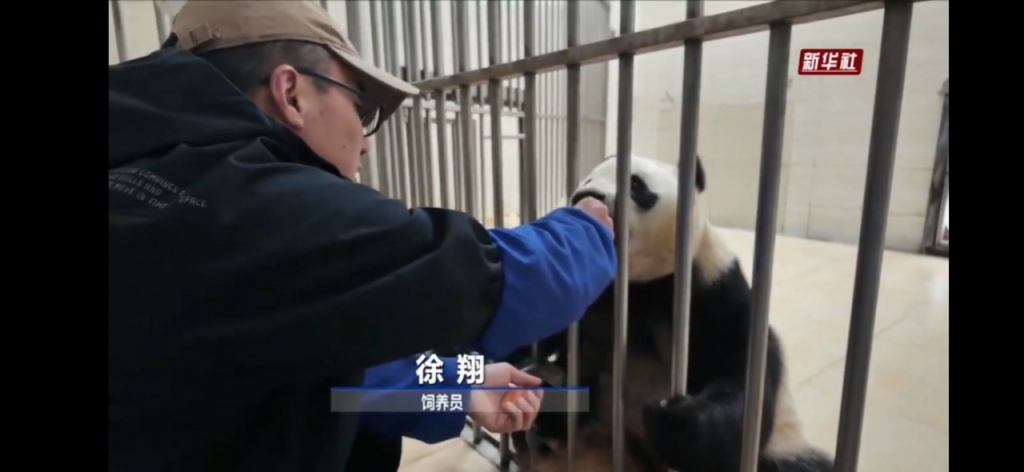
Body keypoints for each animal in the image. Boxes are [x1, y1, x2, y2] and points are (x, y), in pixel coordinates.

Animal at [504, 154, 834, 472]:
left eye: (635, 185)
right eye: (584, 181)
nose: (586, 196)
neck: (638, 285)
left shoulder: (712, 295)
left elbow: (738, 377)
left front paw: (671, 418)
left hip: (784, 447)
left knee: (804, 465)